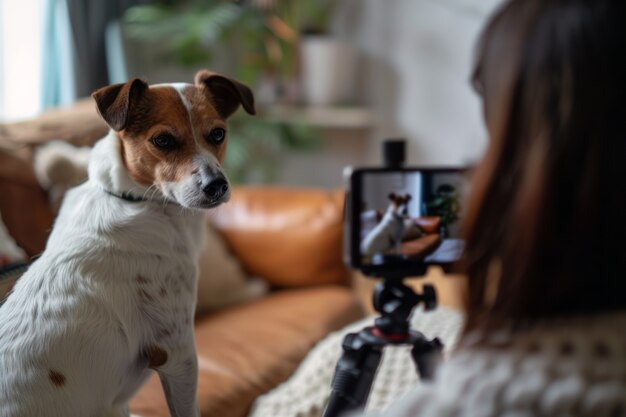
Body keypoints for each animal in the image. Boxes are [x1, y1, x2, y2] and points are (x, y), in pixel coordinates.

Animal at [0, 70, 254, 414]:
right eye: (163, 140)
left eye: (217, 134)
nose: (217, 186)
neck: (137, 201)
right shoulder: (178, 354)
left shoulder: (121, 402)